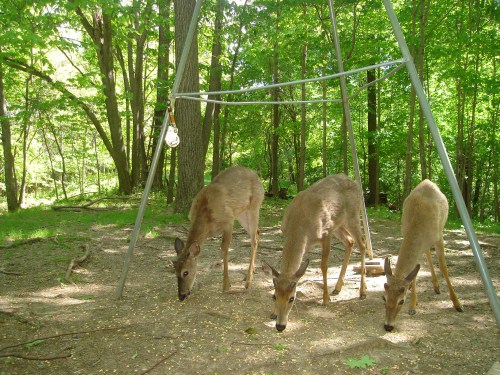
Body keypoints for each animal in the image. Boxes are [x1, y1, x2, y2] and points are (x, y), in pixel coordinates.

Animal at [173, 166, 266, 302]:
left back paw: (248, 281)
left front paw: (226, 285)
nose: (181, 296)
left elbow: (224, 249)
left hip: (254, 207)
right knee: (258, 233)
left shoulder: (228, 221)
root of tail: (257, 176)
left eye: (186, 272)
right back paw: (249, 274)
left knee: (254, 239)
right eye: (174, 270)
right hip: (241, 213)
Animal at [266, 174, 368, 332]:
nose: (280, 326)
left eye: (292, 298)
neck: (299, 225)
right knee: (350, 241)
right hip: (339, 224)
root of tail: (354, 183)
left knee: (362, 244)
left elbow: (323, 266)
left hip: (353, 216)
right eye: (274, 296)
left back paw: (362, 291)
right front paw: (273, 312)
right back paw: (337, 288)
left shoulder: (326, 233)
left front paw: (325, 299)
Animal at [382, 179, 464, 332]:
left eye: (401, 300)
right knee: (427, 255)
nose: (388, 326)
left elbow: (443, 267)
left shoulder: (439, 237)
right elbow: (414, 274)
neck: (417, 223)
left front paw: (458, 304)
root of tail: (427, 180)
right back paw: (435, 286)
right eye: (384, 297)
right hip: (424, 245)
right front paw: (413, 306)